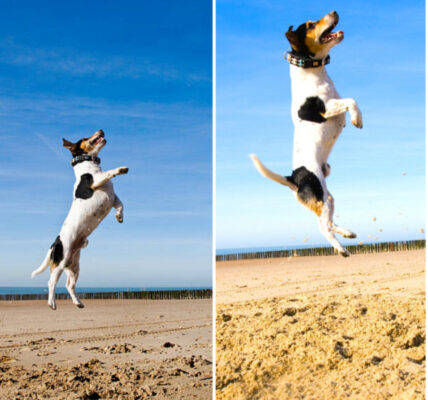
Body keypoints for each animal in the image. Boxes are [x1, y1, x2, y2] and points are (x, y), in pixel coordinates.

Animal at [30, 130, 128, 310]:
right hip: (61, 262)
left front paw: (119, 216)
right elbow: (109, 173)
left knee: (69, 285)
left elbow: (120, 204)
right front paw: (121, 169)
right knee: (51, 282)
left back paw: (78, 302)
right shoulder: (96, 181)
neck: (88, 164)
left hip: (74, 267)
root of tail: (55, 243)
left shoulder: (113, 198)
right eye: (84, 138)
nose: (101, 130)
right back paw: (52, 302)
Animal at [249, 12, 362, 258]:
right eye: (310, 25)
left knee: (326, 223)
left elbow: (351, 99)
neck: (312, 70)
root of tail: (292, 178)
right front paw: (357, 119)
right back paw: (341, 248)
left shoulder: (334, 102)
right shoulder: (326, 108)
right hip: (321, 195)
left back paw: (347, 234)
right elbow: (351, 101)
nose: (335, 11)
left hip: (327, 197)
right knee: (324, 227)